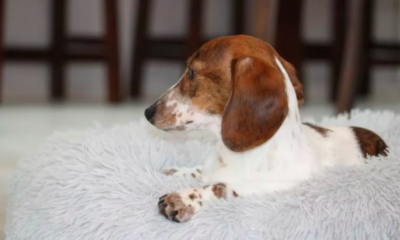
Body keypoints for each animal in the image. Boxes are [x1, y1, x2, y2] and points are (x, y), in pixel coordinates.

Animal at [144, 34, 388, 222]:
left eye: (192, 72)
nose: (147, 112)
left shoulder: (273, 188)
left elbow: (221, 187)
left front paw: (184, 198)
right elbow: (201, 171)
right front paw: (175, 171)